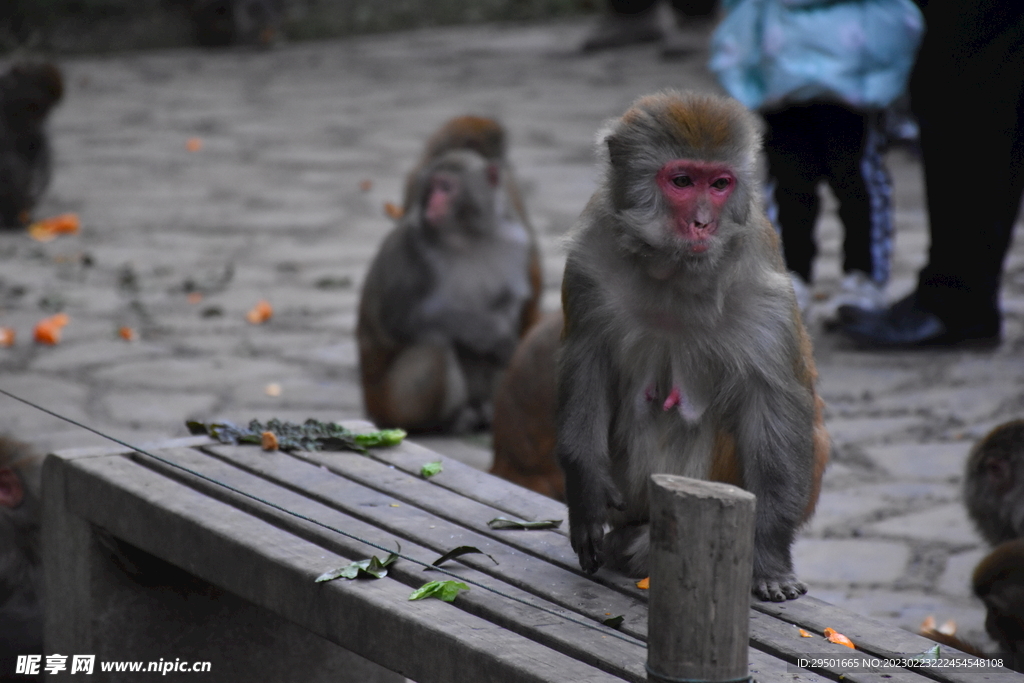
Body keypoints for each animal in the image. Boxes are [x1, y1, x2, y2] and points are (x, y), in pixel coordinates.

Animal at [356, 117, 540, 432]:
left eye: (446, 186)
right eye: (430, 188)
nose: (432, 203)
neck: (467, 238)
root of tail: (370, 401)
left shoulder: (517, 243)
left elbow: (509, 306)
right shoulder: (412, 248)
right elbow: (402, 319)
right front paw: (491, 331)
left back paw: (485, 413)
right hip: (388, 400)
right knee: (435, 347)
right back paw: (444, 421)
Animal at [557, 90, 827, 602]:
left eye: (720, 184)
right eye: (682, 181)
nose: (703, 223)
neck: (672, 271)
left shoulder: (761, 282)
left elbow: (773, 399)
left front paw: (769, 559)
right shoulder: (588, 259)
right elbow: (585, 359)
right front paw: (585, 492)